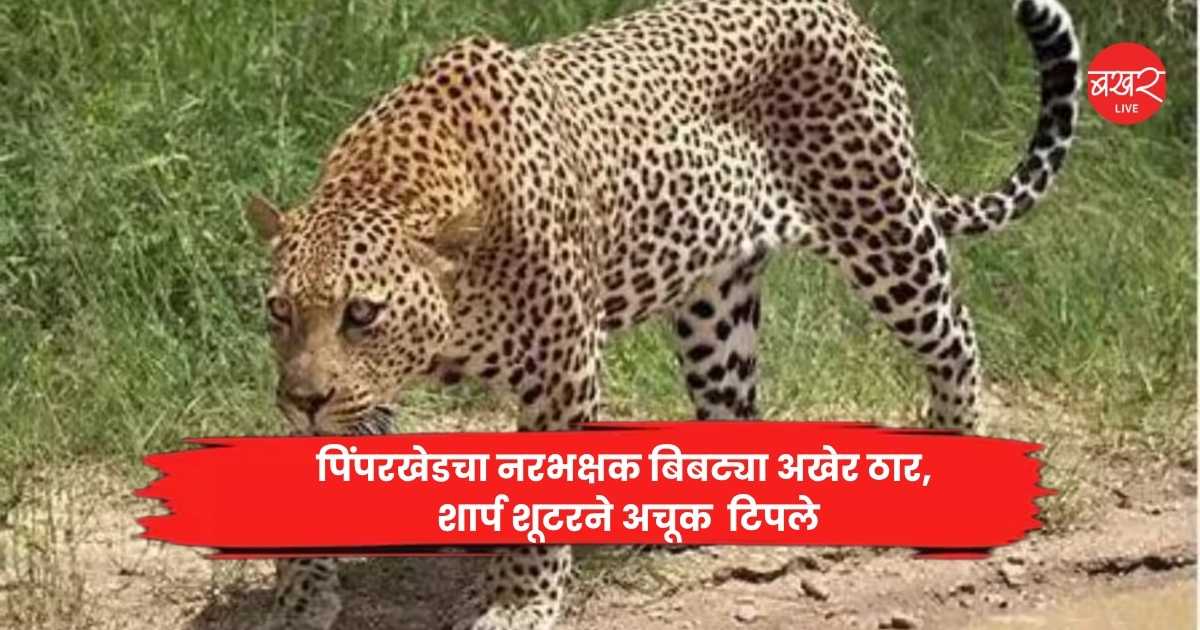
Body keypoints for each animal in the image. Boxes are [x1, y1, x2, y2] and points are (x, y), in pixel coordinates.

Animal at [243, 0, 1080, 628]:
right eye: (280, 311)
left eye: (362, 313)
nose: (301, 399)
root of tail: (841, 12)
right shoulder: (353, 395)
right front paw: (301, 596)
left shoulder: (563, 369)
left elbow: (539, 502)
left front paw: (516, 601)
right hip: (714, 307)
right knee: (735, 408)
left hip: (882, 228)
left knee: (954, 336)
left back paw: (954, 443)